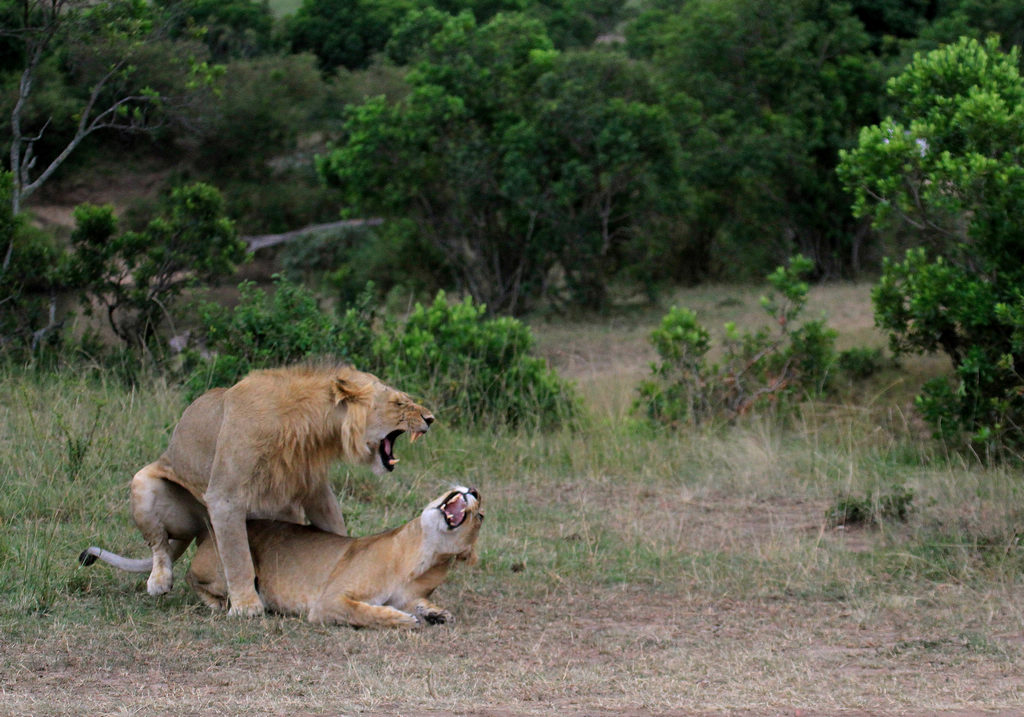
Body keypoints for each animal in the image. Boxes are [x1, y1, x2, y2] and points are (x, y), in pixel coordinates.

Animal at [81, 485, 481, 630]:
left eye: (479, 515)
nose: (474, 490)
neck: (421, 555)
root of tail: (207, 531)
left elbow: (419, 603)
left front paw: (435, 613)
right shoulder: (328, 601)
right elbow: (367, 612)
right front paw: (402, 620)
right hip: (228, 564)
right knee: (198, 580)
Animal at [120, 364, 432, 614]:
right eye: (399, 403)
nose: (431, 419)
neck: (311, 427)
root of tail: (201, 531)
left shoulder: (315, 490)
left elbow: (335, 528)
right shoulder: (224, 496)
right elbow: (237, 556)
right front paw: (246, 606)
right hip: (144, 483)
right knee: (160, 544)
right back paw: (160, 581)